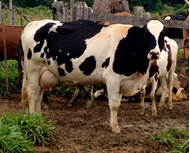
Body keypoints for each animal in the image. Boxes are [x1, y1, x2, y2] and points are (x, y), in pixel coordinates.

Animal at [20, 18, 166, 133]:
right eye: (146, 34)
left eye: (162, 36)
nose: (154, 53)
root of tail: (32, 24)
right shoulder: (113, 78)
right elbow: (114, 104)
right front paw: (115, 127)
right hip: (33, 71)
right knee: (32, 95)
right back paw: (33, 119)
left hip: (42, 75)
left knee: (38, 96)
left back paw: (38, 119)